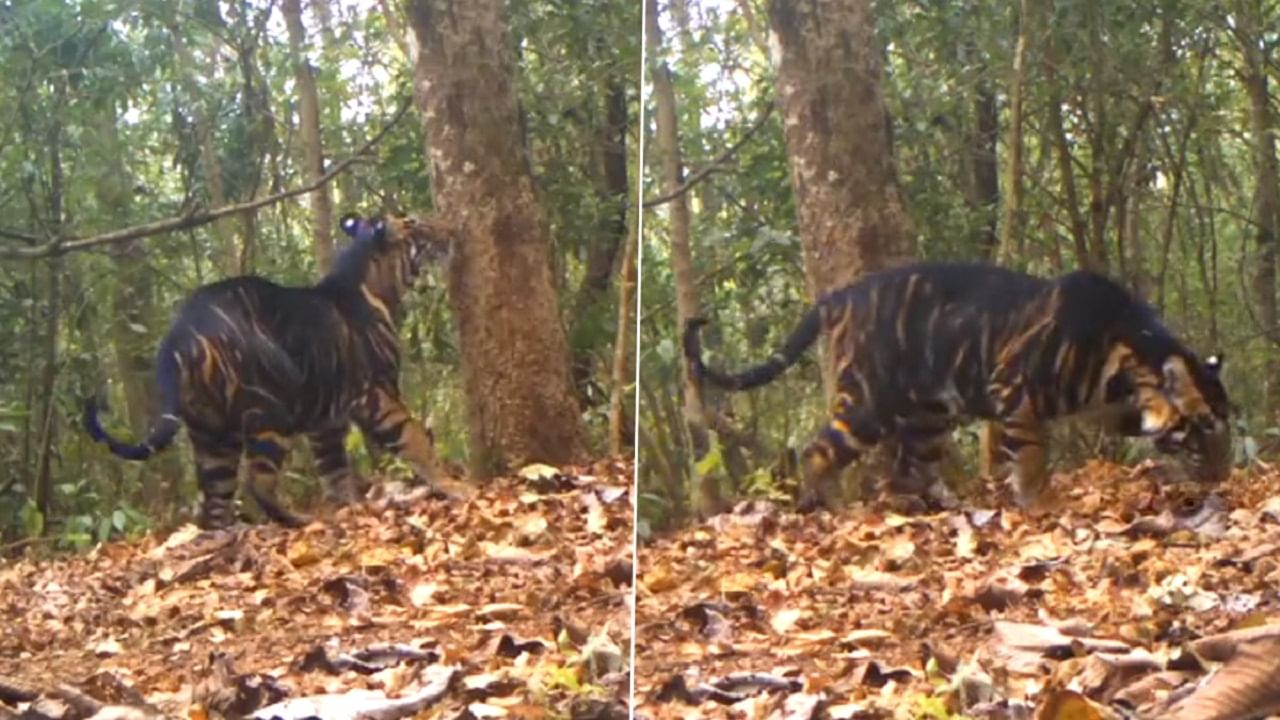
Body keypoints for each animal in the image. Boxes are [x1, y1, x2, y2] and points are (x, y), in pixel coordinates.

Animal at [80, 210, 463, 530]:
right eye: (415, 224)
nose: (450, 230)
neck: (375, 285)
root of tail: (179, 335)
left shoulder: (327, 422)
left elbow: (335, 470)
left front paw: (351, 506)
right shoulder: (378, 394)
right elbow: (415, 438)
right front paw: (455, 487)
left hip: (212, 435)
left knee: (215, 502)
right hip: (268, 414)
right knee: (257, 483)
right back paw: (298, 521)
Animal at [686, 262, 1233, 509]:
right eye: (1205, 426)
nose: (1223, 476)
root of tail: (835, 297)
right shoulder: (1015, 391)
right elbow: (1031, 456)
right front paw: (1038, 504)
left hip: (929, 416)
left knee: (909, 468)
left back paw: (932, 507)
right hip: (866, 403)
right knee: (817, 452)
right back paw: (832, 509)